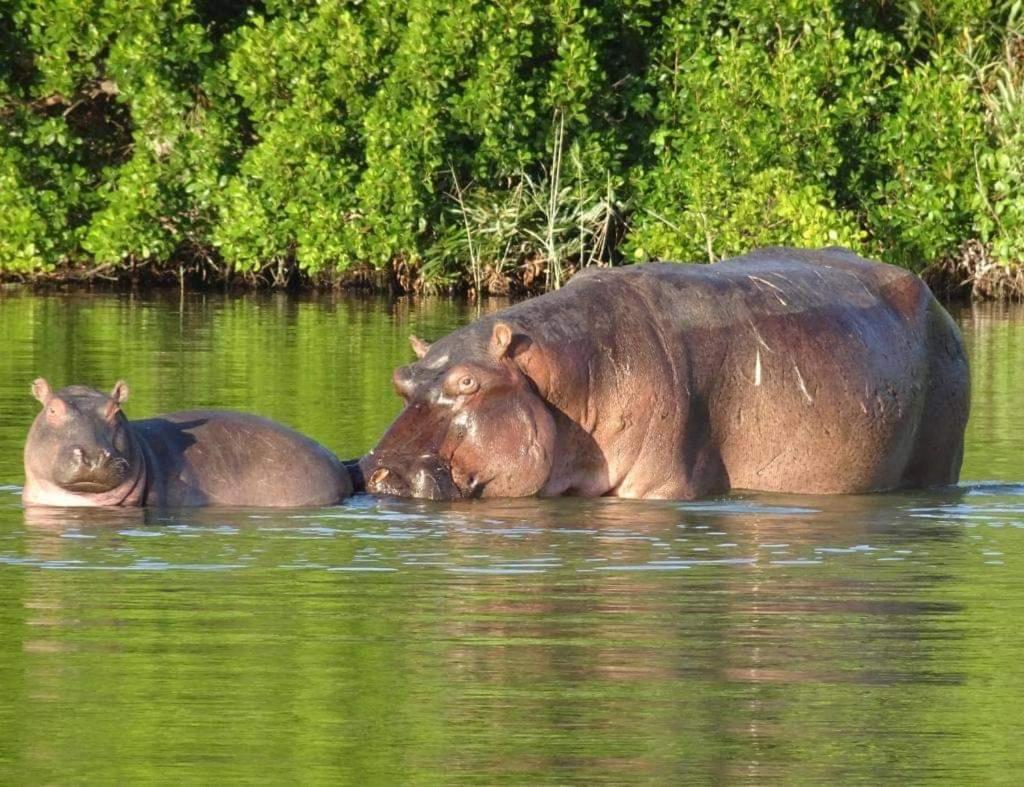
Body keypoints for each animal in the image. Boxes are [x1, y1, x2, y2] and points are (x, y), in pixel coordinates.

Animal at [361, 247, 970, 500]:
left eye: (469, 382)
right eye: (400, 378)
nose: (380, 472)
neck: (563, 373)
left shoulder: (657, 488)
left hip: (938, 459)